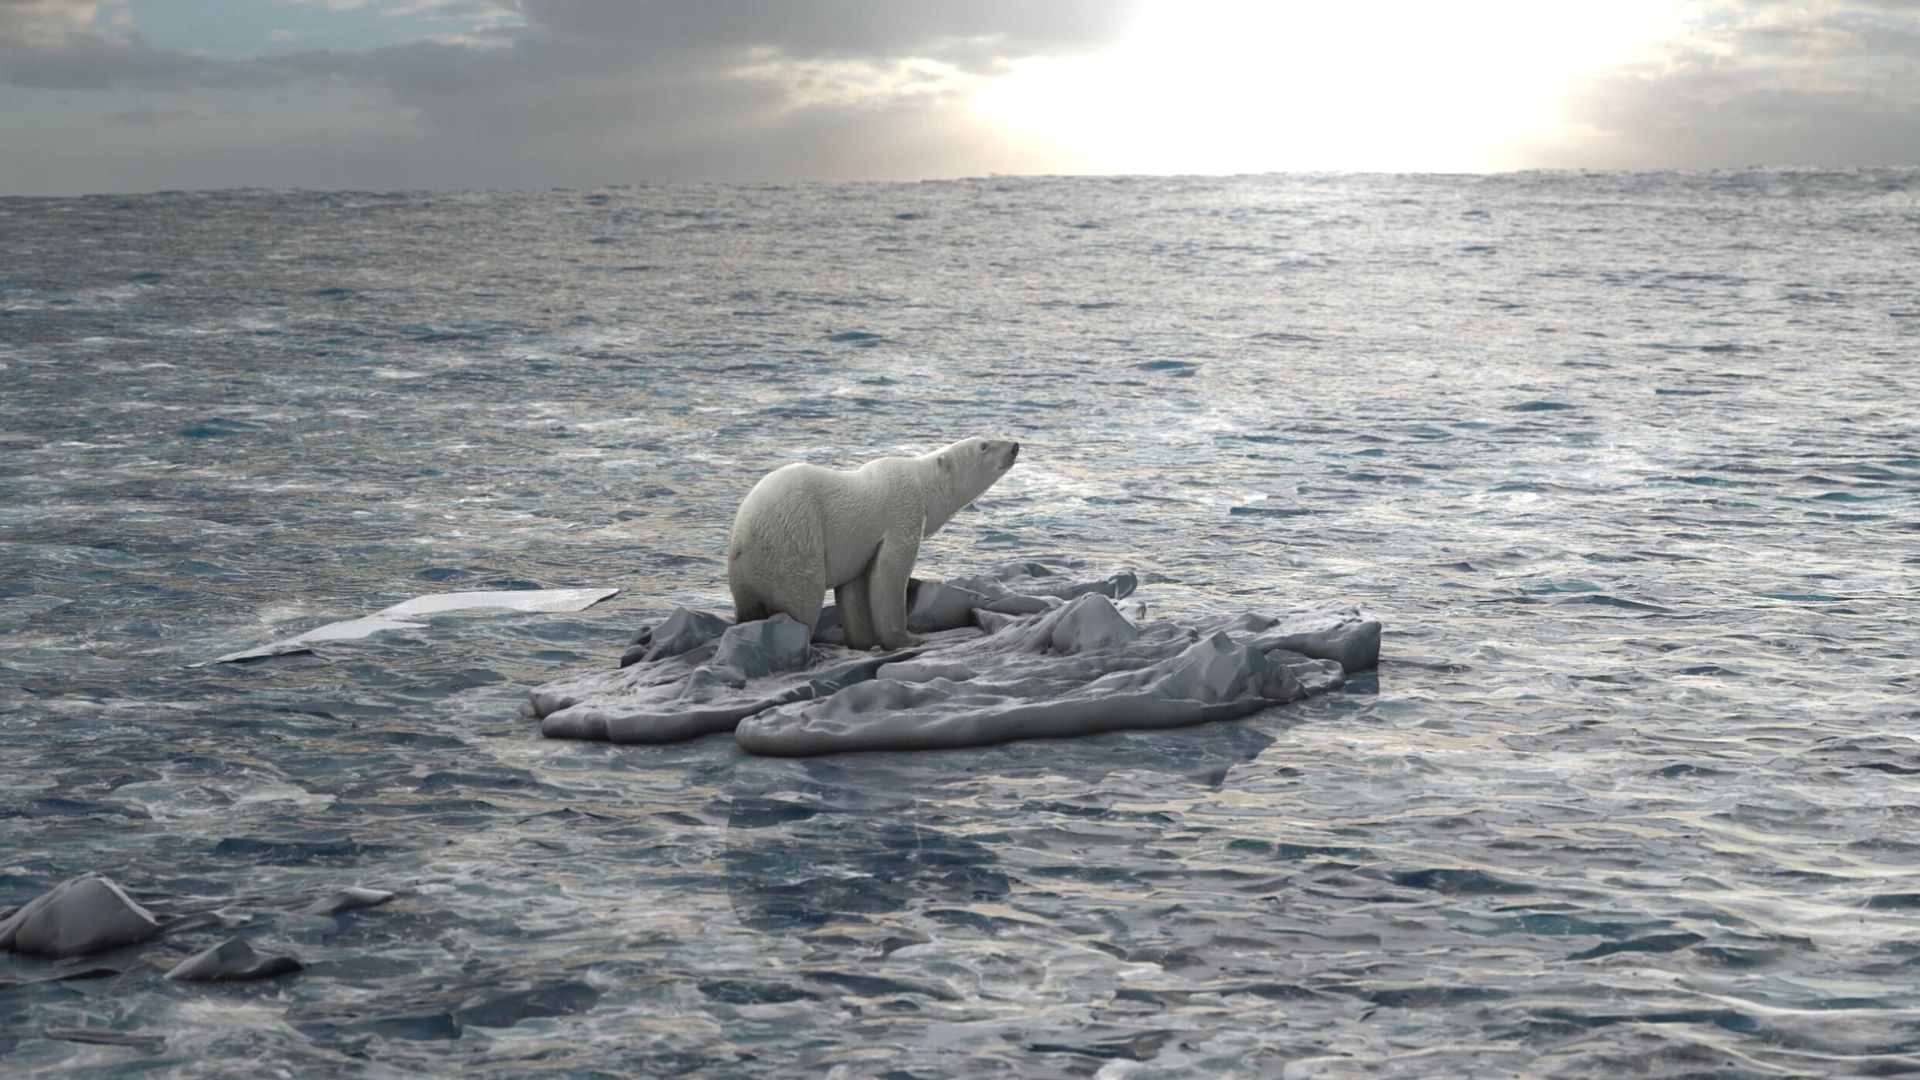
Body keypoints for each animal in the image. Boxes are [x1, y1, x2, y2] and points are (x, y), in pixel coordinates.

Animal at [726, 437, 1020, 650]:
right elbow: (889, 574)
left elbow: (854, 589)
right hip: (793, 542)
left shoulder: (857, 546)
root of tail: (741, 539)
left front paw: (863, 641)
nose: (1014, 446)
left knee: (748, 605)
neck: (921, 482)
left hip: (747, 573)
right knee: (802, 600)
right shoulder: (902, 513)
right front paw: (907, 639)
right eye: (983, 446)